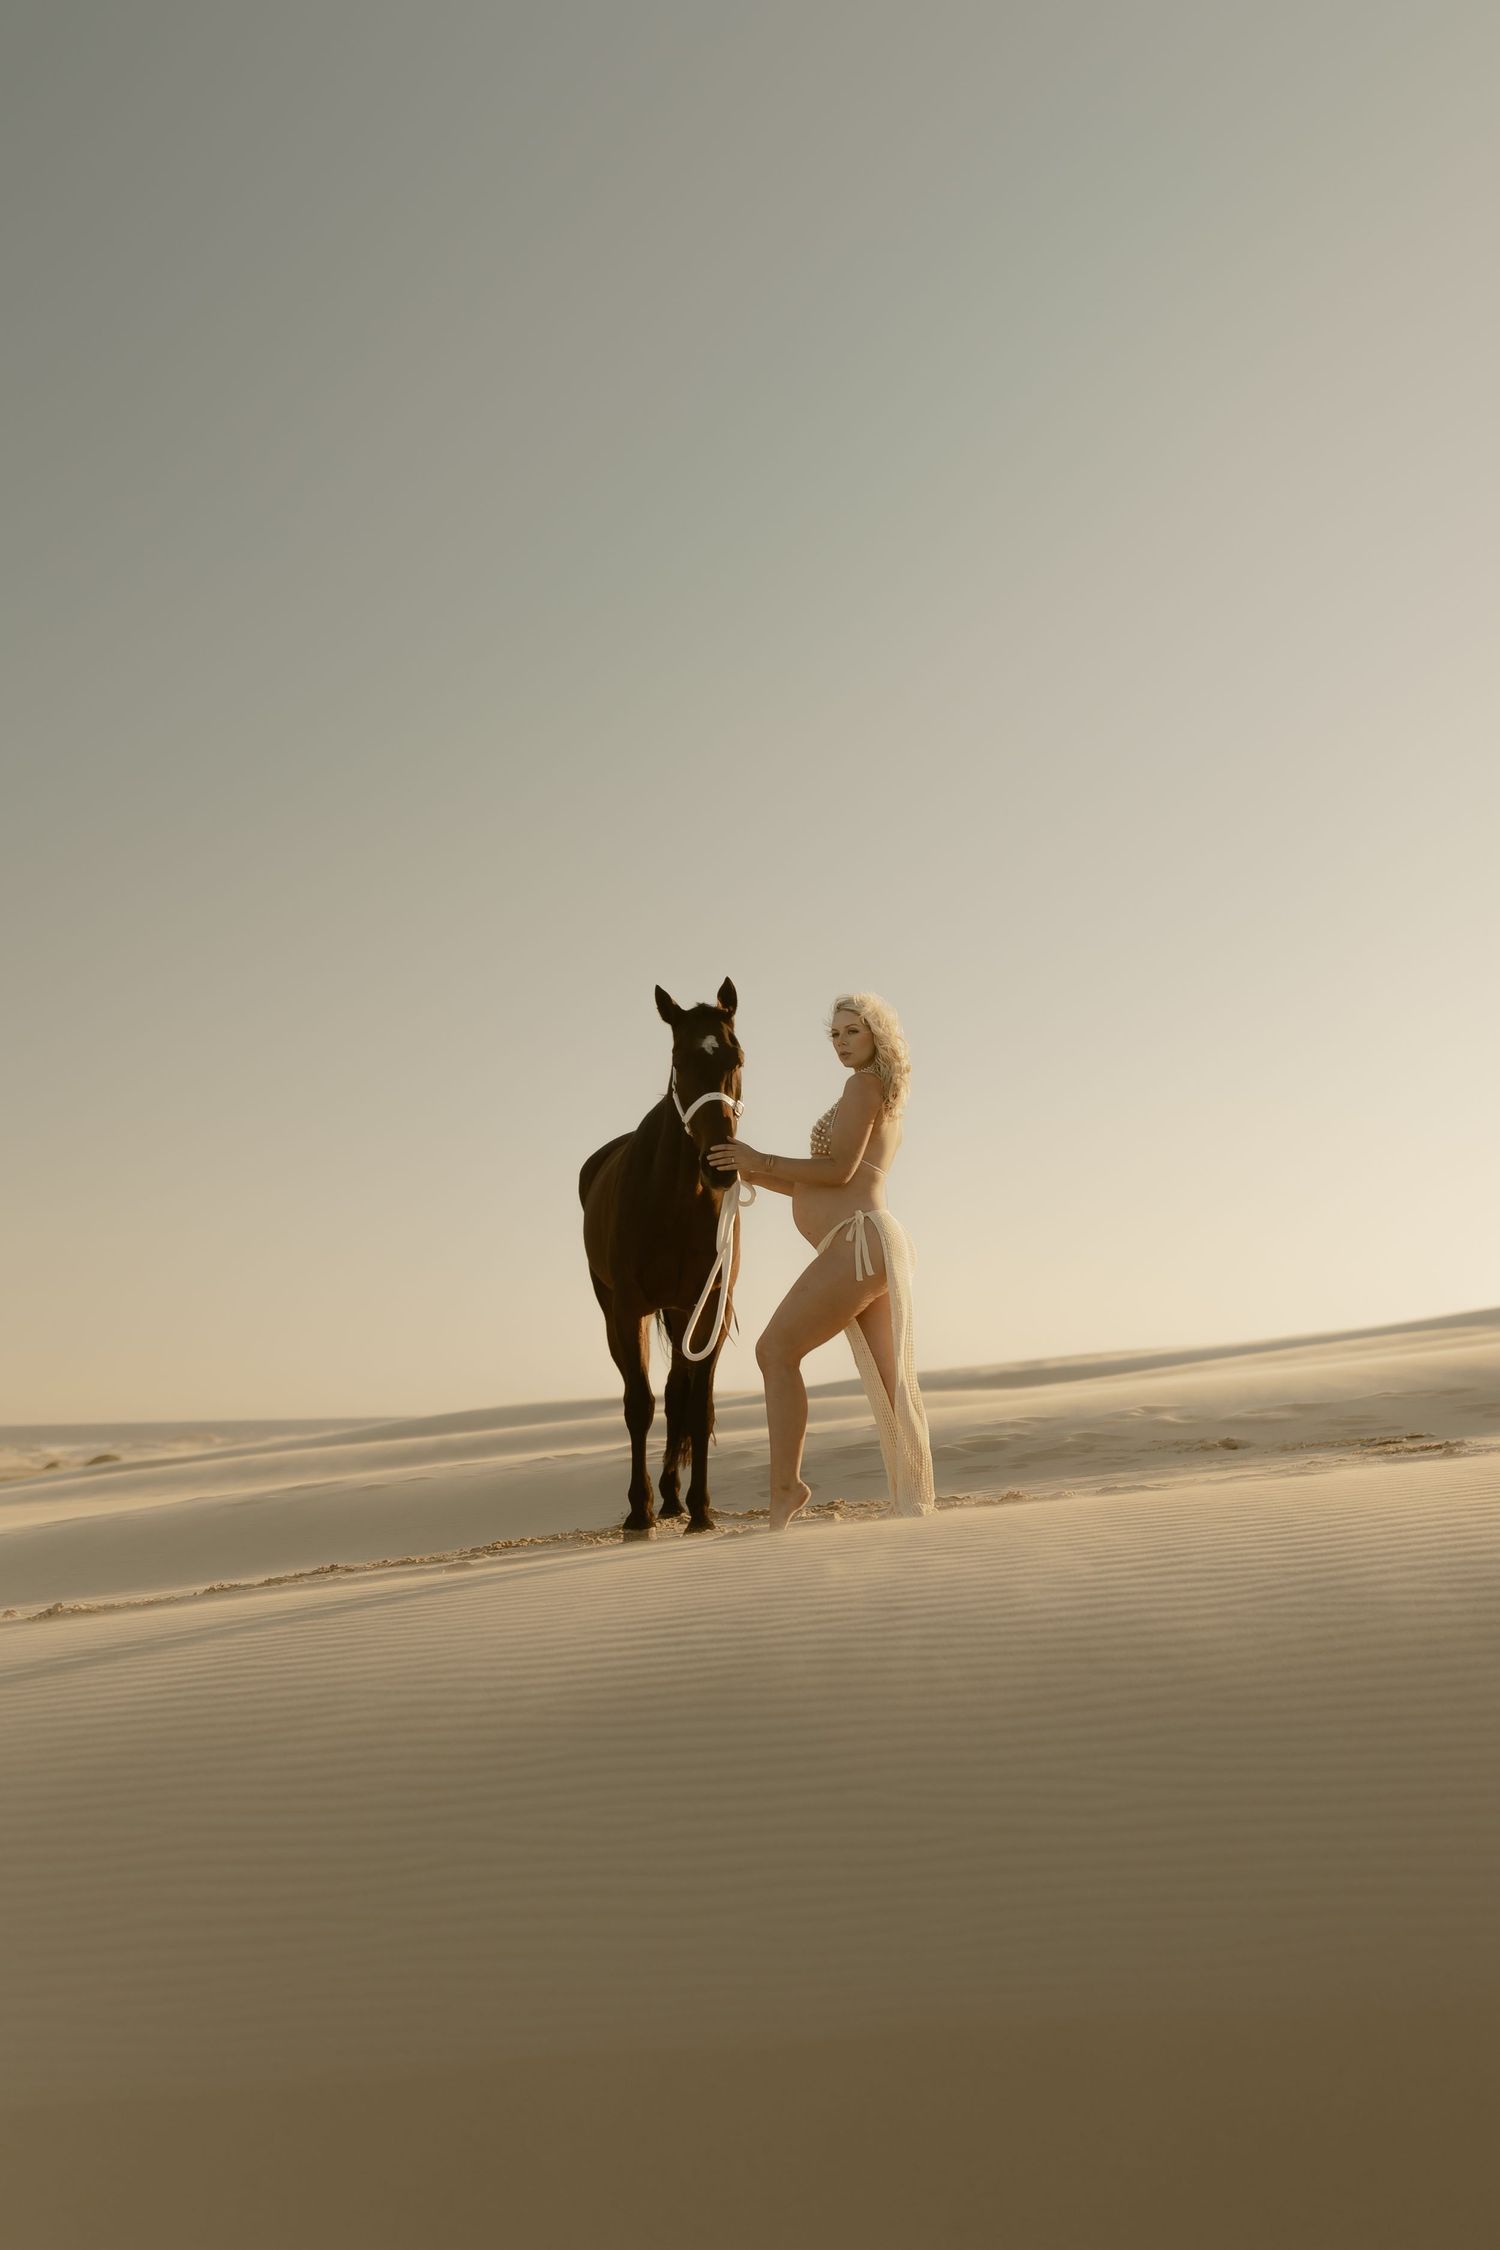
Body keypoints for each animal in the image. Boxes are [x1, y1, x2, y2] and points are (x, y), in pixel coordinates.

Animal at [579, 979, 749, 1537]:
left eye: (736, 1057)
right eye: (680, 1059)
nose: (720, 1167)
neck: (678, 1199)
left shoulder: (708, 1305)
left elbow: (695, 1407)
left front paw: (701, 1510)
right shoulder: (629, 1308)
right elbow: (639, 1404)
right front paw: (638, 1511)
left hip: (680, 1314)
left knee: (678, 1396)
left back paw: (676, 1499)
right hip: (622, 1309)